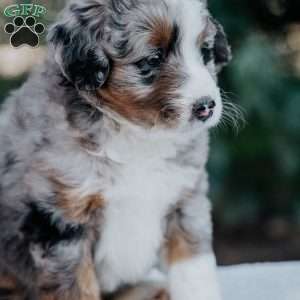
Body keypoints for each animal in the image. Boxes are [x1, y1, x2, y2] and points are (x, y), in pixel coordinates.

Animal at [0, 0, 230, 298]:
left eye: (205, 52)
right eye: (152, 60)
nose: (206, 106)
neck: (138, 137)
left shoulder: (185, 200)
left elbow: (194, 269)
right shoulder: (61, 221)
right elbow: (77, 287)